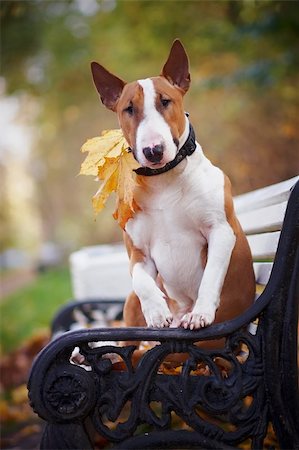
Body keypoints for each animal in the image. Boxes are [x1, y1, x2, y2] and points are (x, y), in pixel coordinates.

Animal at [91, 39, 255, 334]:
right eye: (128, 109)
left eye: (165, 101)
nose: (153, 150)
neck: (163, 180)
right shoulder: (138, 251)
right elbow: (141, 281)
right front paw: (156, 311)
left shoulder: (220, 229)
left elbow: (212, 273)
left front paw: (200, 314)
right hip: (130, 306)